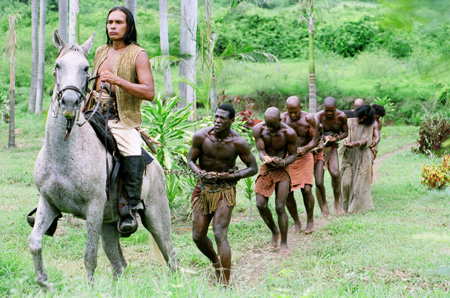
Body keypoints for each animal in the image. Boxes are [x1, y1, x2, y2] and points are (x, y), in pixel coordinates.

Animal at [27, 29, 179, 286]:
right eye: (57, 65)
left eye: (86, 68)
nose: (69, 103)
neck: (63, 154)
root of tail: (157, 166)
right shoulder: (48, 203)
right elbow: (35, 243)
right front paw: (44, 283)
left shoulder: (94, 209)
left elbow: (89, 257)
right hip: (110, 224)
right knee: (119, 264)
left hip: (157, 220)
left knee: (172, 257)